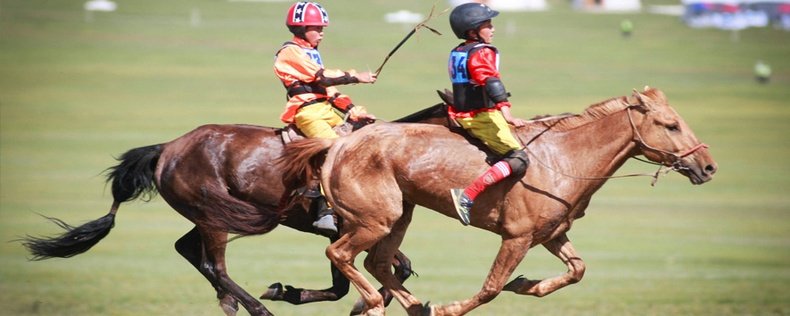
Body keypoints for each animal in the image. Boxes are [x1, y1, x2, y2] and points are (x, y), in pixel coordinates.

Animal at [21, 102, 454, 314]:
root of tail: (167, 147)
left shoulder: (363, 231)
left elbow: (392, 269)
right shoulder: (346, 228)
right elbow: (347, 280)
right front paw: (287, 293)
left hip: (209, 213)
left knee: (186, 249)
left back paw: (230, 302)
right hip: (212, 214)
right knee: (213, 264)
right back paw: (256, 308)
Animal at [278, 88, 716, 316]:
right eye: (671, 125)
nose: (708, 166)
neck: (563, 159)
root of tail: (337, 145)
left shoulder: (551, 235)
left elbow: (577, 270)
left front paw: (526, 284)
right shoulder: (516, 238)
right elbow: (490, 288)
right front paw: (451, 307)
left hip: (400, 215)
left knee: (376, 263)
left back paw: (415, 306)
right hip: (375, 220)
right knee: (341, 254)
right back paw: (374, 302)